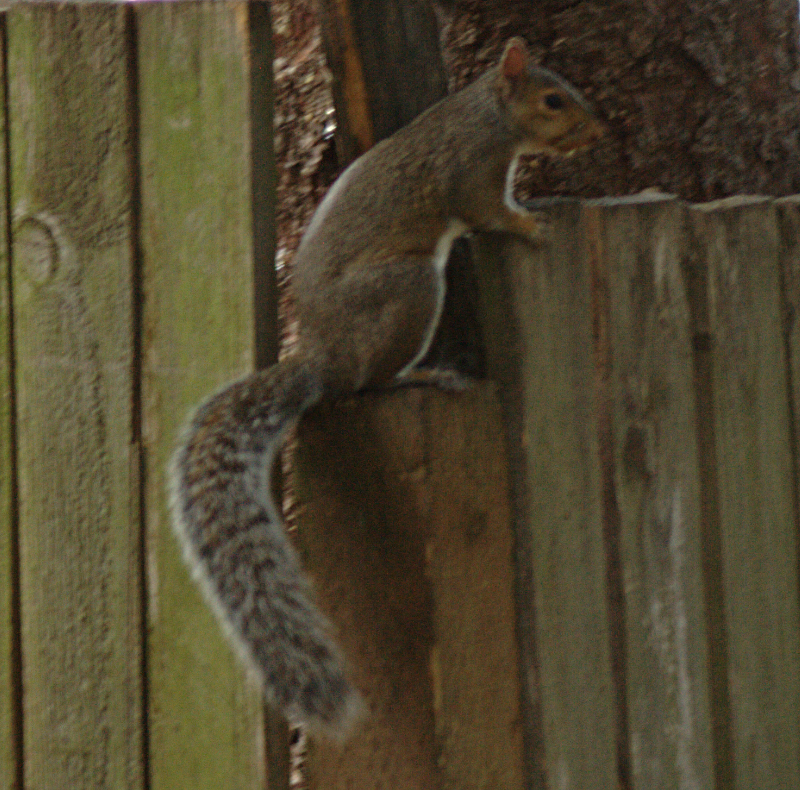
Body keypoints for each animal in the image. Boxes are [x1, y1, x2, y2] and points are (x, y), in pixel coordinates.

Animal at [170, 37, 603, 737]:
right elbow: (488, 213)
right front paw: (531, 225)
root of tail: (323, 356)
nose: (597, 134)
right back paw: (419, 372)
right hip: (409, 290)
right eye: (553, 99)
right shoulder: (469, 173)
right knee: (364, 386)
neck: (486, 117)